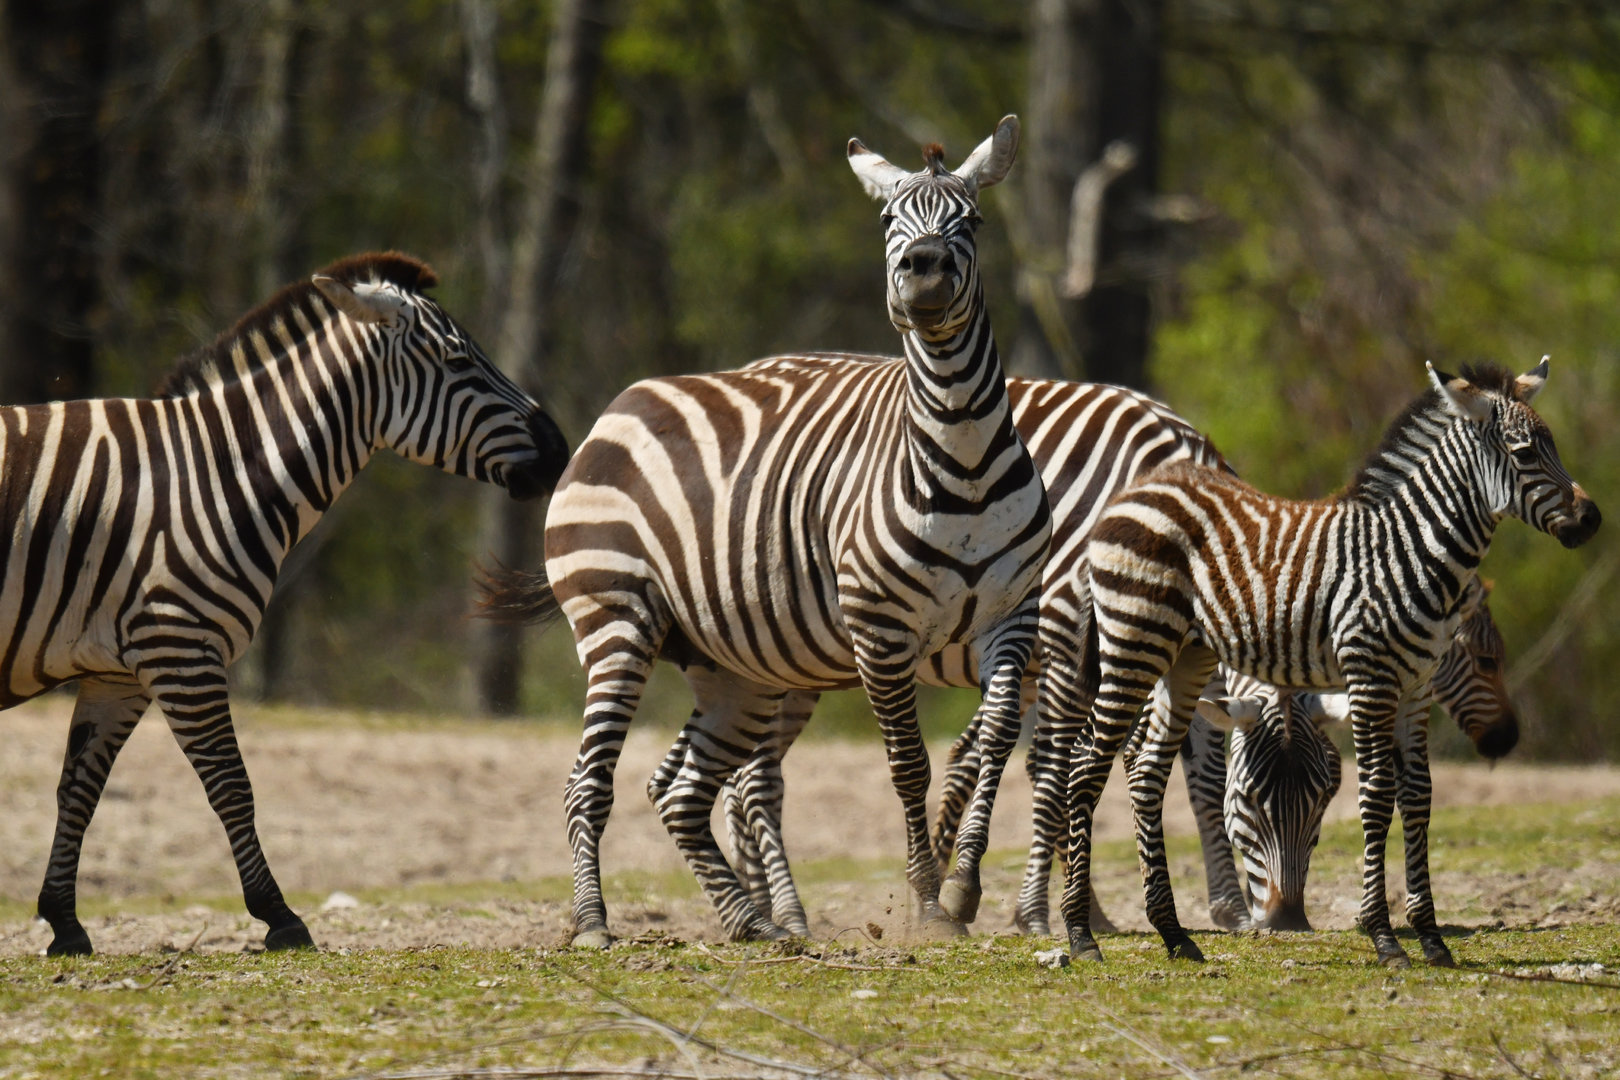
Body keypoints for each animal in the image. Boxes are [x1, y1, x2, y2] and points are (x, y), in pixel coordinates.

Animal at [9, 252, 567, 955]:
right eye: (459, 360)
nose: (562, 450)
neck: (218, 474)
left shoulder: (119, 670)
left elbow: (78, 787)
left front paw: (63, 921)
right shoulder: (179, 646)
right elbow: (232, 785)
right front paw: (279, 915)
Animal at [479, 116, 1051, 947]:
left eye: (970, 221)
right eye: (888, 220)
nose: (923, 272)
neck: (964, 460)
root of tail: (620, 404)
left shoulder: (1013, 615)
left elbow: (999, 740)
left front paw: (961, 886)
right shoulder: (880, 628)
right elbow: (908, 762)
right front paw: (925, 903)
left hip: (732, 668)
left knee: (680, 788)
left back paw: (752, 920)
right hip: (616, 620)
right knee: (588, 780)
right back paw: (593, 923)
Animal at [1058, 359, 1598, 967]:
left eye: (1553, 447)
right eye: (1525, 453)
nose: (1592, 518)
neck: (1413, 552)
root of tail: (1137, 491)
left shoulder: (1416, 688)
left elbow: (1419, 796)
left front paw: (1431, 937)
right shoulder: (1370, 676)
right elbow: (1377, 794)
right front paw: (1384, 936)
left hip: (1187, 655)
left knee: (1147, 768)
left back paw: (1174, 934)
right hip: (1134, 641)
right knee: (1087, 765)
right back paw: (1080, 935)